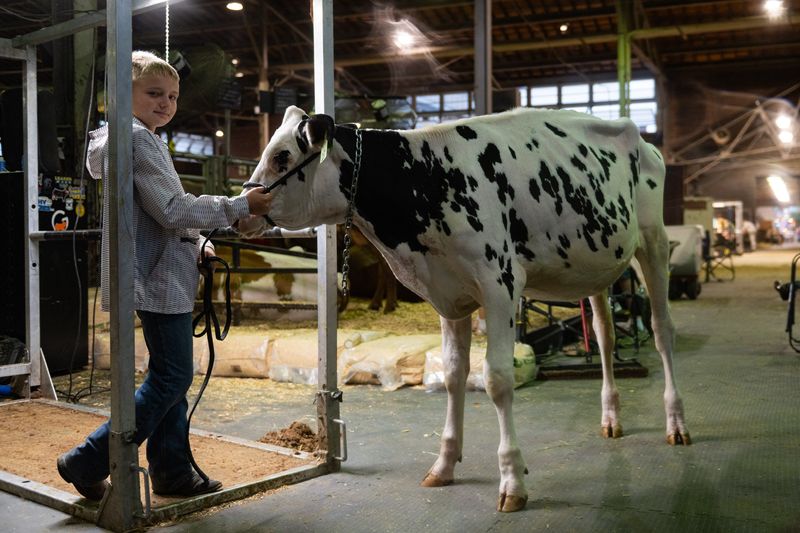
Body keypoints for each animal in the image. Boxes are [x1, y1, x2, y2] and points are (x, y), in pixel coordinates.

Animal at [238, 105, 691, 512]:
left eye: (282, 156)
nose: (244, 209)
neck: (426, 178)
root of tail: (638, 134)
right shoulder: (449, 294)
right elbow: (454, 374)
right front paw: (444, 464)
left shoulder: (501, 285)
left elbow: (497, 380)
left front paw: (512, 480)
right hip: (596, 267)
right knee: (604, 335)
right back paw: (611, 418)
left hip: (653, 243)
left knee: (662, 330)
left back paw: (677, 424)